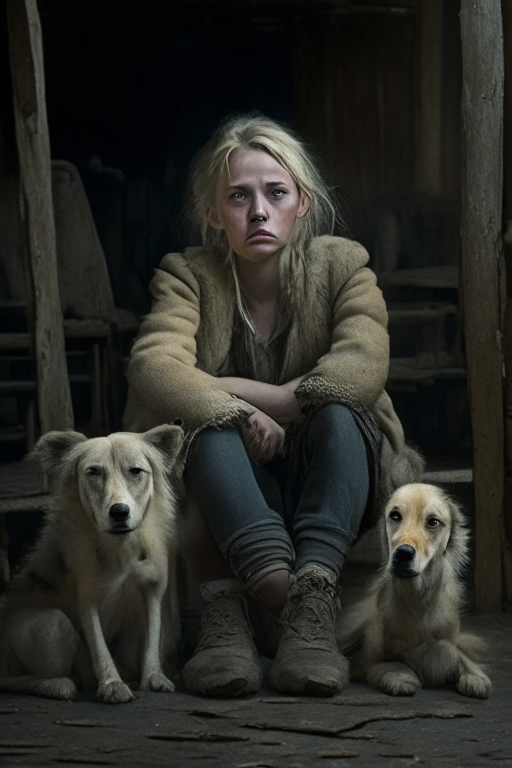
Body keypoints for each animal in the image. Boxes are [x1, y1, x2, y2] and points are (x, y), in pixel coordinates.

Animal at [0, 424, 183, 704]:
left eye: (135, 471)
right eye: (94, 472)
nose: (119, 512)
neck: (121, 546)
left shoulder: (153, 590)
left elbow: (153, 636)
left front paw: (153, 677)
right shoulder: (87, 598)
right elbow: (99, 647)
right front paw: (112, 684)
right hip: (55, 626)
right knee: (17, 679)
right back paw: (61, 685)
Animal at [338, 484, 490, 700]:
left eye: (433, 522)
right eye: (395, 516)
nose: (403, 554)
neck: (417, 598)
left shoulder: (448, 637)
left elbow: (452, 652)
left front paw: (475, 677)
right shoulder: (371, 655)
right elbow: (387, 663)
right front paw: (399, 676)